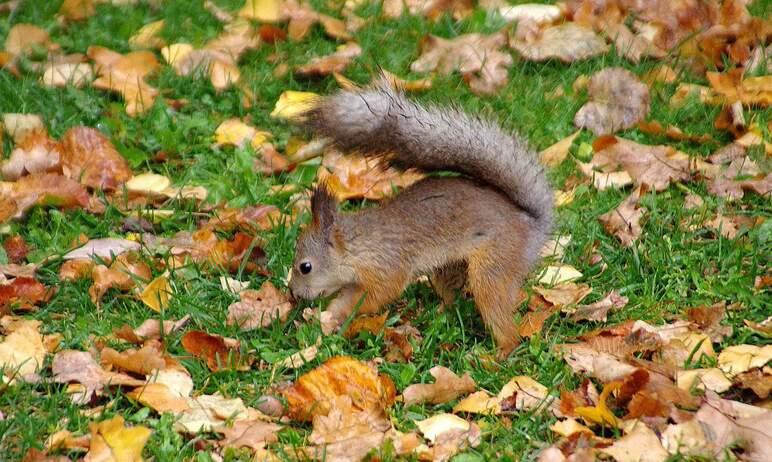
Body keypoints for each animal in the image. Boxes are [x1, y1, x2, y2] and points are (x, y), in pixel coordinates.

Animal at [286, 76, 552, 358]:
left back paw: (498, 353)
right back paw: (438, 314)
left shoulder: (387, 267)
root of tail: (531, 224)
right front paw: (326, 317)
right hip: (448, 269)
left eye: (305, 267)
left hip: (494, 268)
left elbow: (376, 295)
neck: (358, 245)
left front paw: (341, 313)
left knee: (504, 322)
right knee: (452, 297)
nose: (293, 293)